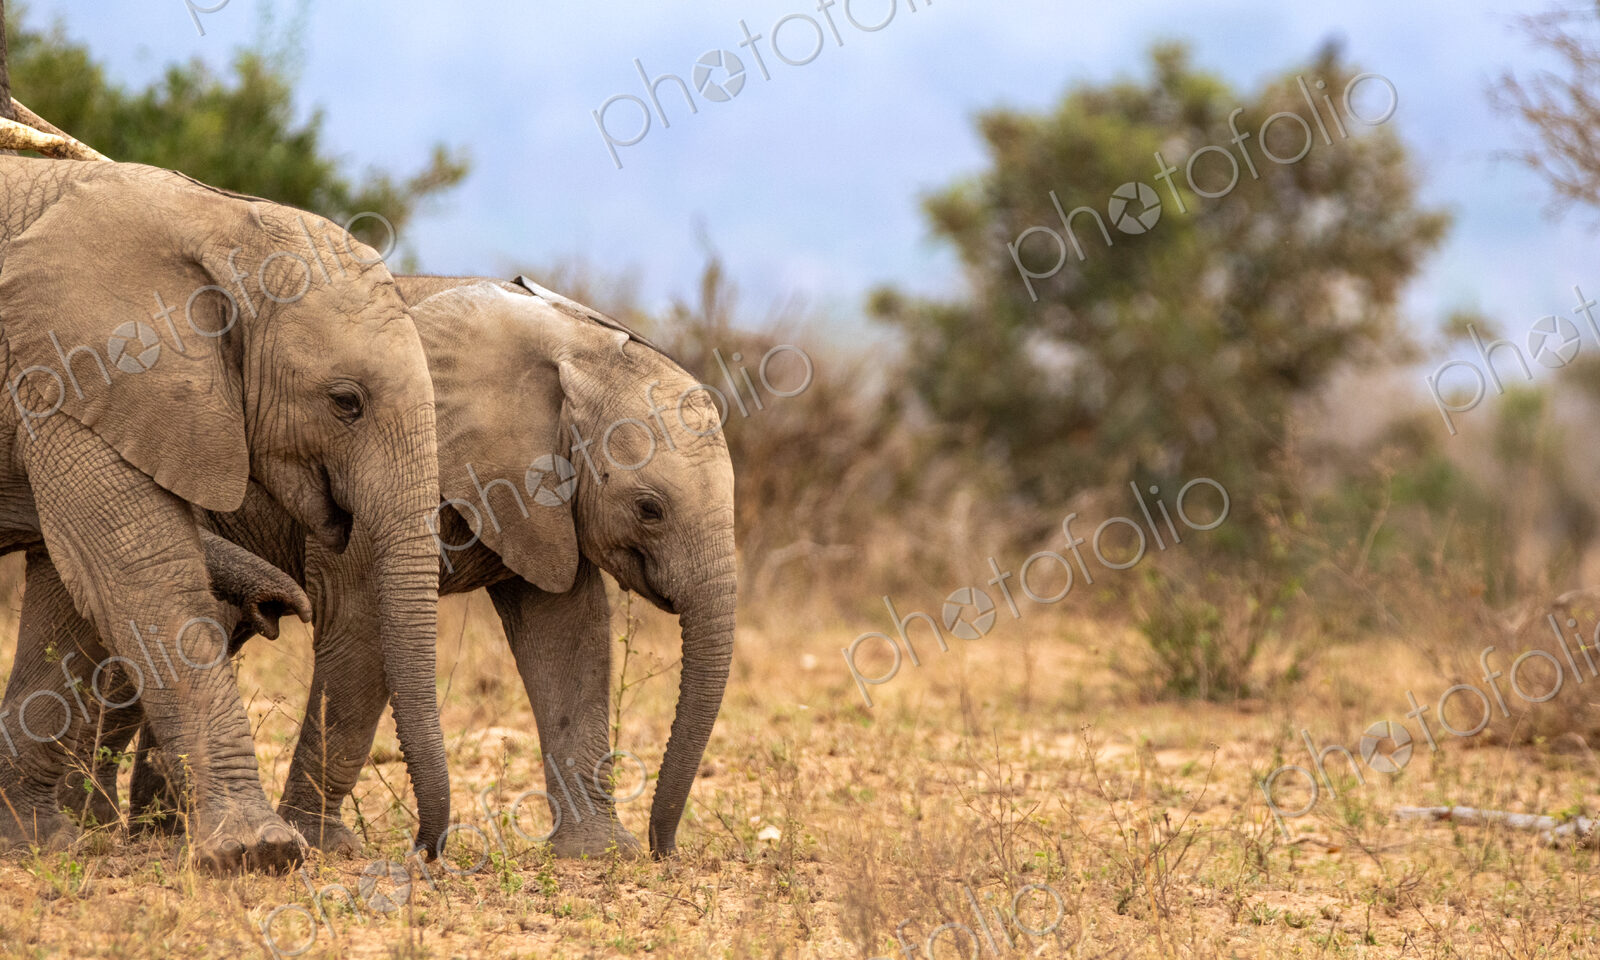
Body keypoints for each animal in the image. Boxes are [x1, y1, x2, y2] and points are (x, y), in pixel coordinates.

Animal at [0, 156, 446, 873]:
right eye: (345, 402)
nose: (424, 852)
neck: (223, 223)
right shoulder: (78, 368)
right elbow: (139, 568)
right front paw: (259, 853)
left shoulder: (80, 385)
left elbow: (73, 593)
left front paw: (36, 842)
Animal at [50, 275, 738, 860]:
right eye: (649, 509)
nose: (665, 850)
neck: (574, 345)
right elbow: (361, 631)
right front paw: (326, 849)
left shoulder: (543, 503)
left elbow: (571, 639)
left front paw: (599, 855)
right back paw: (108, 834)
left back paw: (153, 834)